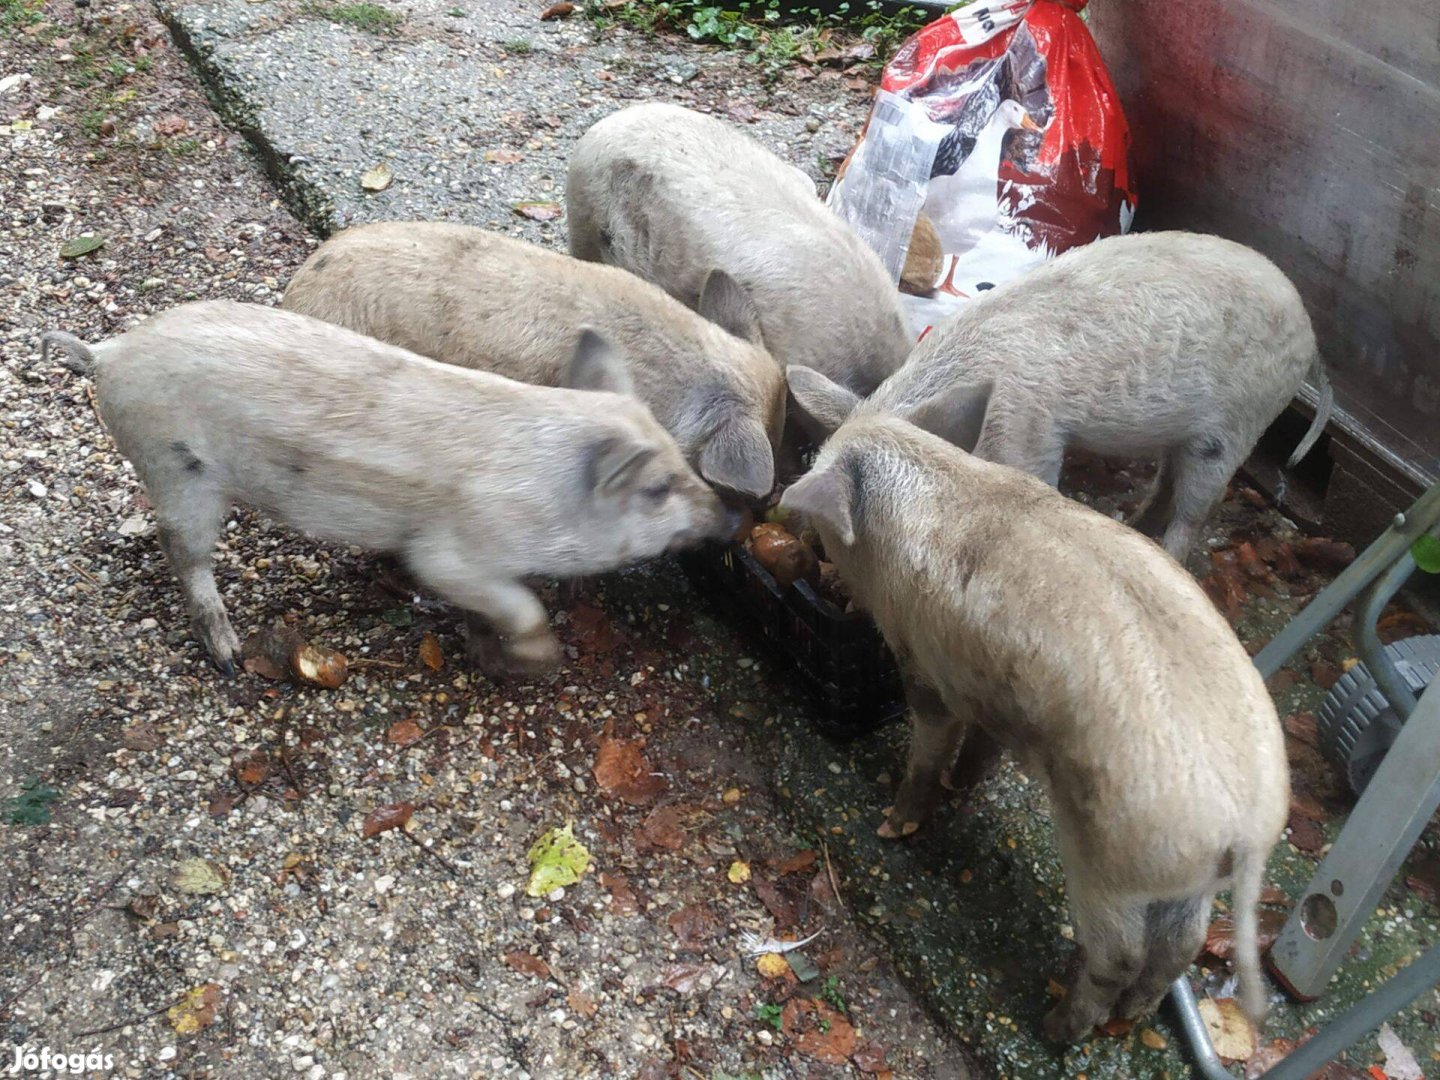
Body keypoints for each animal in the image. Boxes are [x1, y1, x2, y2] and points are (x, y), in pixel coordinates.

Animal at [39, 302, 737, 676]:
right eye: (657, 488)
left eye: (683, 462)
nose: (730, 516)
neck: (550, 492)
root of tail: (109, 352)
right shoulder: (450, 551)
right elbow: (507, 598)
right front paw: (545, 660)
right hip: (173, 468)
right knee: (182, 553)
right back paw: (231, 656)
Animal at [783, 414, 1290, 1042]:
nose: (794, 530)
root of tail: (1245, 827)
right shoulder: (992, 696)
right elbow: (982, 747)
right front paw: (959, 786)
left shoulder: (925, 667)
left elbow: (930, 745)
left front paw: (891, 826)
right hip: (1189, 881)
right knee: (1182, 944)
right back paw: (1133, 1014)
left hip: (1111, 864)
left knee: (1120, 954)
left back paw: (1056, 1028)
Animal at [789, 233, 1336, 561]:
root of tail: (1311, 335)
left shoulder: (1027, 433)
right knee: (1166, 478)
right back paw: (1135, 522)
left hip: (1237, 425)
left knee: (1197, 510)